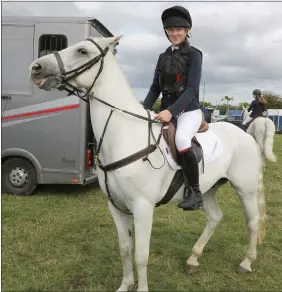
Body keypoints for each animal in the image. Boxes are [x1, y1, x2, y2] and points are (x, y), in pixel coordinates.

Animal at [30, 36, 266, 292]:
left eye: (82, 51)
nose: (36, 68)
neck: (125, 134)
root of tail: (246, 135)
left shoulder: (143, 207)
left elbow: (141, 254)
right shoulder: (116, 206)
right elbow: (125, 249)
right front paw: (124, 285)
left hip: (245, 190)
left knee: (253, 222)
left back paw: (246, 262)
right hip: (208, 189)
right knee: (214, 217)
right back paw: (193, 258)